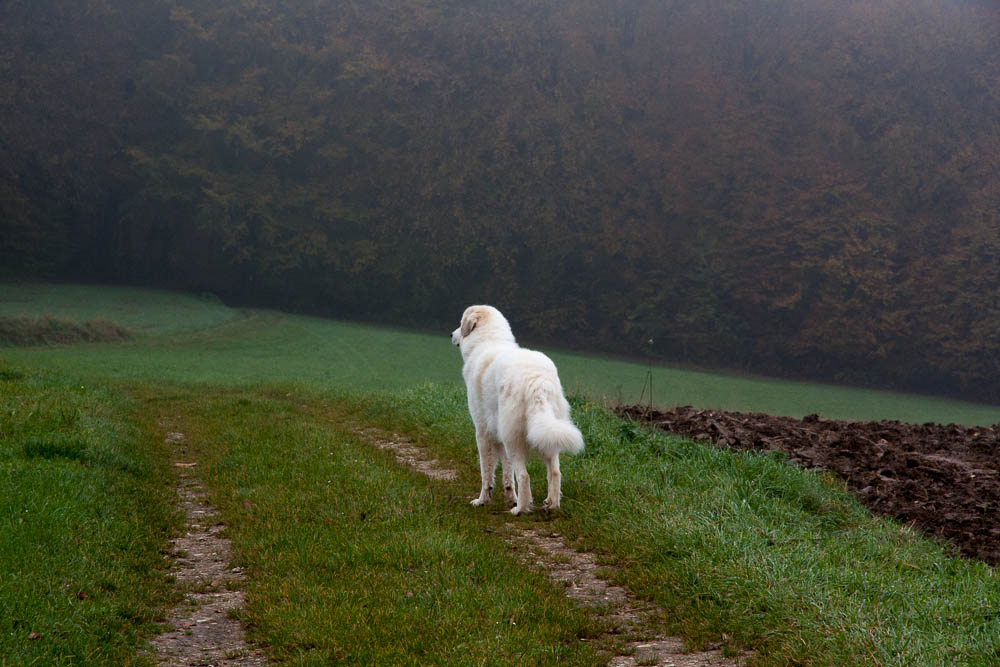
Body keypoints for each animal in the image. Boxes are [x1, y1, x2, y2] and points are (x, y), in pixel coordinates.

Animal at [450, 306, 584, 516]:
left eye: (460, 322)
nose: (451, 334)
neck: (488, 341)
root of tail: (537, 381)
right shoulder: (499, 435)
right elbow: (507, 473)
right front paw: (509, 497)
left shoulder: (483, 432)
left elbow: (487, 472)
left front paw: (483, 501)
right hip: (546, 432)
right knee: (555, 471)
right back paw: (551, 504)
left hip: (514, 440)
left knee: (524, 475)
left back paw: (520, 509)